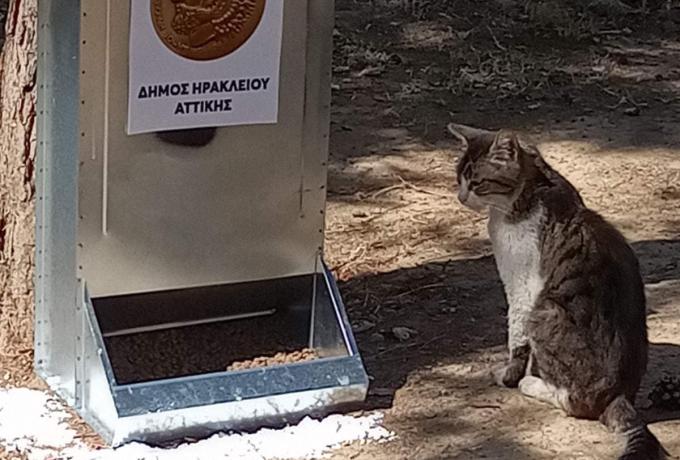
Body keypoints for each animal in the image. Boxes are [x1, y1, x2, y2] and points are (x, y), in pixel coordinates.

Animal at [446, 123, 668, 460]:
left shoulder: (522, 291)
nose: (460, 197)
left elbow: (516, 340)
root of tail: (620, 394)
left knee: (576, 403)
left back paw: (532, 384)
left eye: (476, 183)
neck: (529, 192)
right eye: (459, 178)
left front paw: (508, 376)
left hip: (545, 311)